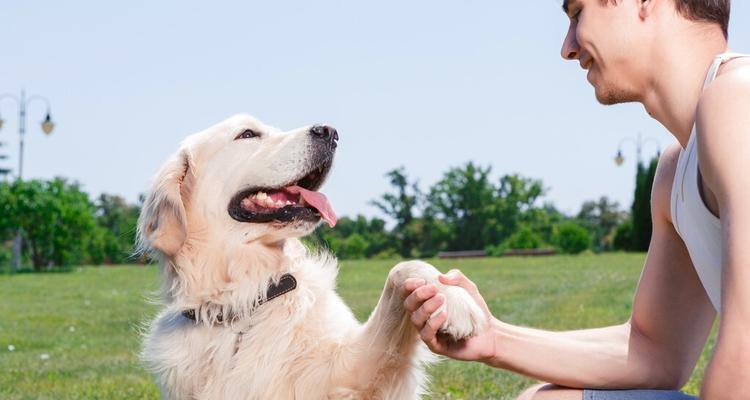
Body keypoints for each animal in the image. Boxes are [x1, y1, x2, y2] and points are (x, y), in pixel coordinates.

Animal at [137, 114, 484, 398]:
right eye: (247, 134)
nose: (329, 131)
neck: (248, 299)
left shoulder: (349, 373)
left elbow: (403, 267)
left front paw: (454, 300)